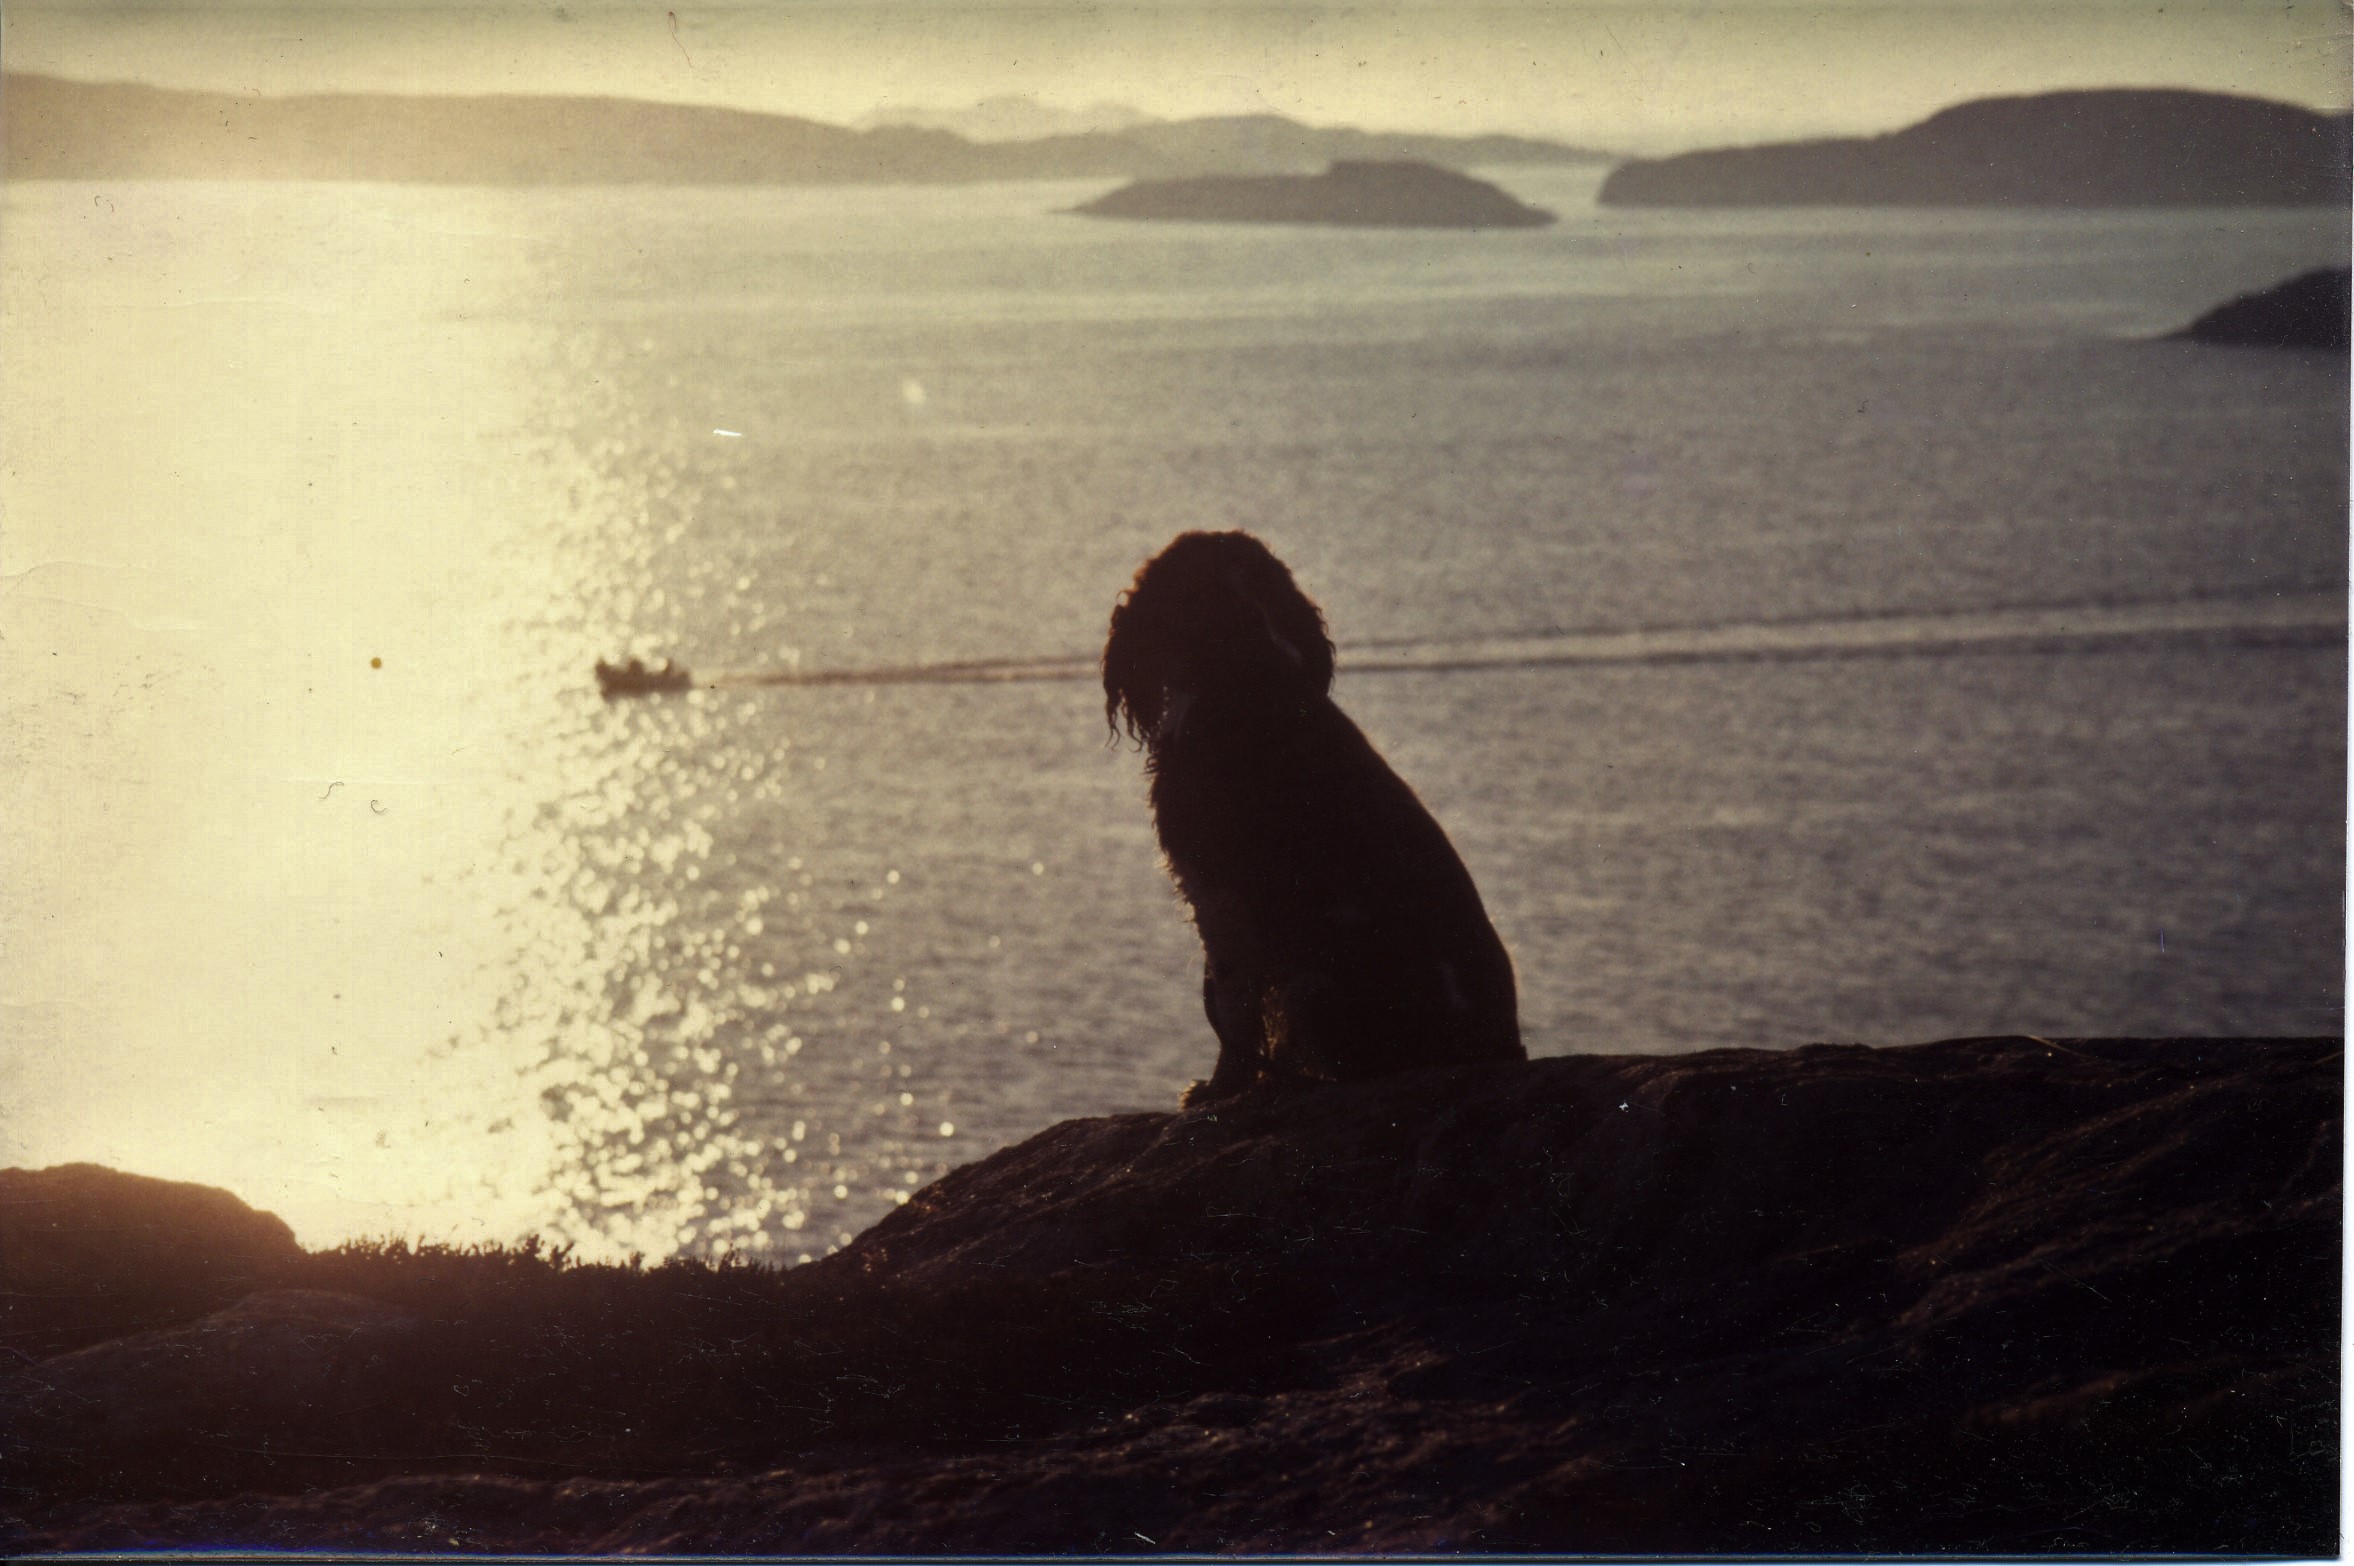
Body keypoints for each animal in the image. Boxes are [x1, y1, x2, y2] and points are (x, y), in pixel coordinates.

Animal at [1106, 532, 1525, 1106]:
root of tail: (1499, 1049)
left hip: (1321, 974)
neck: (1243, 671)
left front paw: (1218, 1090)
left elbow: (1231, 1011)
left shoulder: (1221, 899)